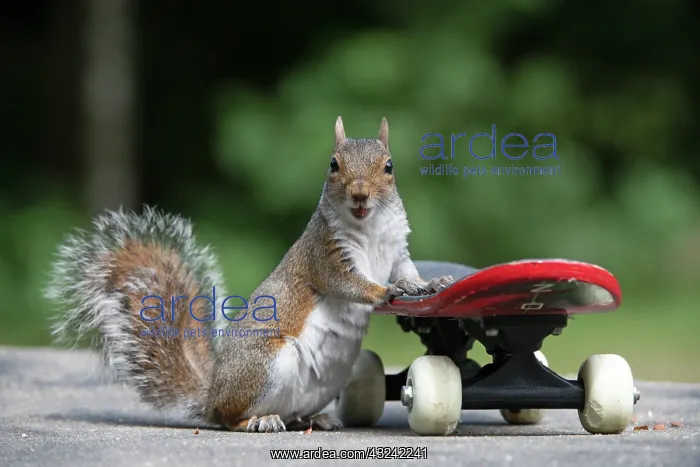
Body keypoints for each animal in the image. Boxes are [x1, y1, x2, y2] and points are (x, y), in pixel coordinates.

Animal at [44, 116, 455, 433]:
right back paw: (260, 421)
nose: (359, 194)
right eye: (333, 165)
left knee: (293, 413)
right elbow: (348, 284)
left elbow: (407, 273)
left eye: (389, 166)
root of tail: (211, 395)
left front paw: (428, 284)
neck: (369, 229)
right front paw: (384, 291)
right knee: (229, 418)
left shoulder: (397, 252)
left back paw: (314, 419)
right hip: (267, 364)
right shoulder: (324, 256)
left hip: (326, 381)